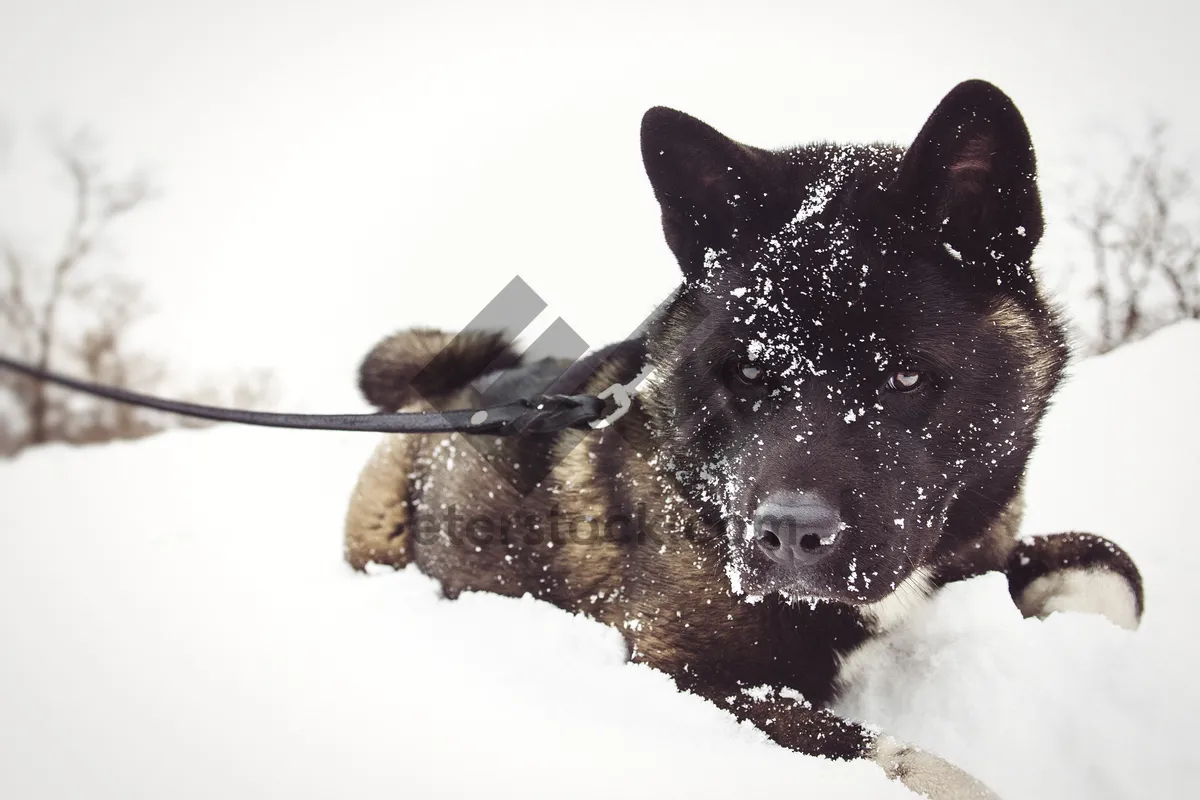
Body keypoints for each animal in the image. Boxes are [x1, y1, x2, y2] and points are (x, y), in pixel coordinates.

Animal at [345, 82, 1142, 800]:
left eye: (907, 374)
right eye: (751, 371)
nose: (788, 534)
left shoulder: (976, 544)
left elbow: (1108, 562)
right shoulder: (678, 669)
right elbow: (898, 758)